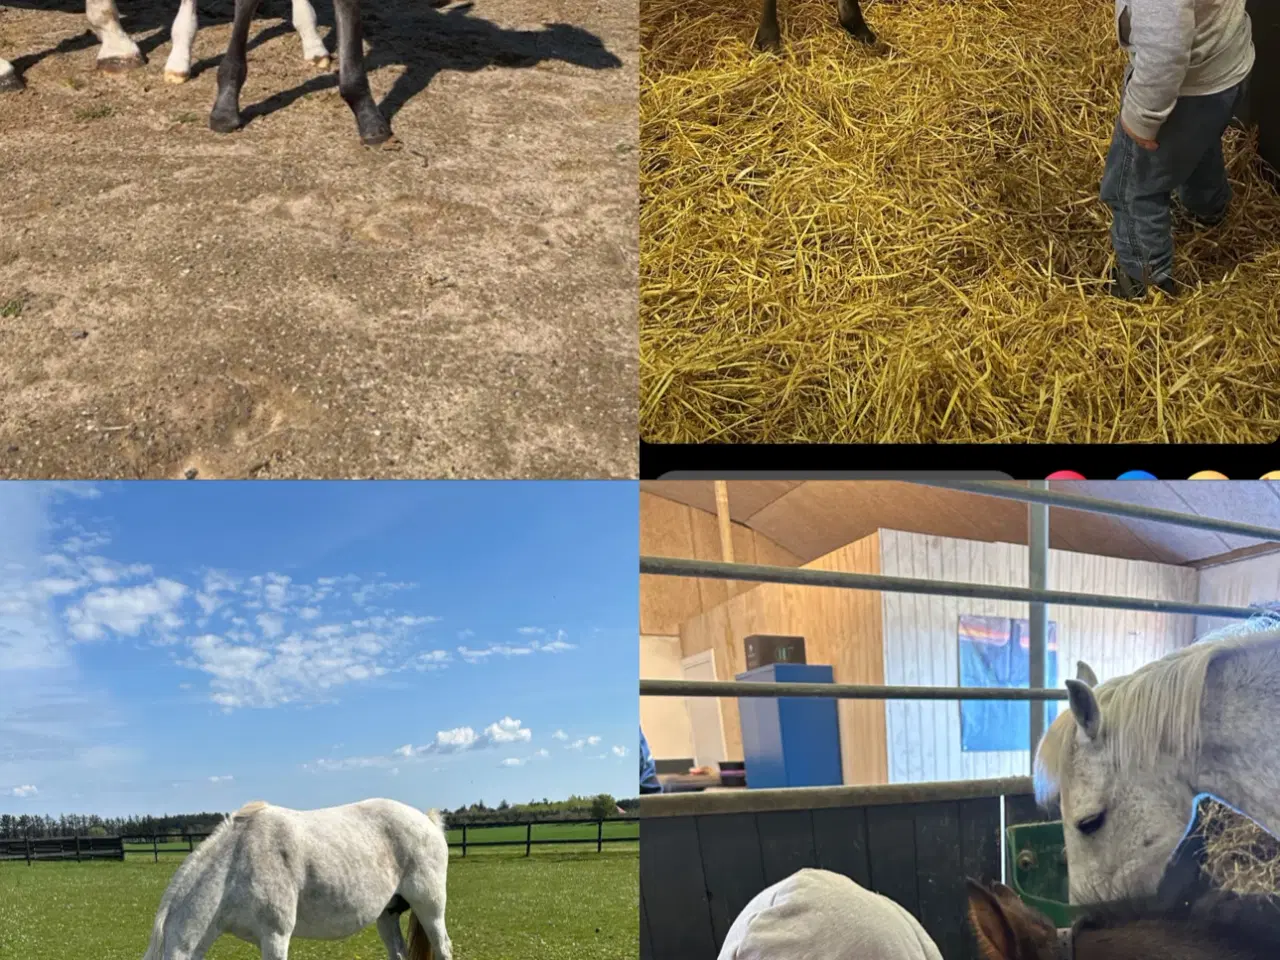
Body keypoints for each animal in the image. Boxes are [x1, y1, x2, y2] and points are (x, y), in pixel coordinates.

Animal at [142, 798, 453, 960]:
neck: (235, 865)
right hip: (387, 915)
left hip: (430, 908)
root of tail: (428, 822)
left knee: (443, 947)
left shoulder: (275, 936)